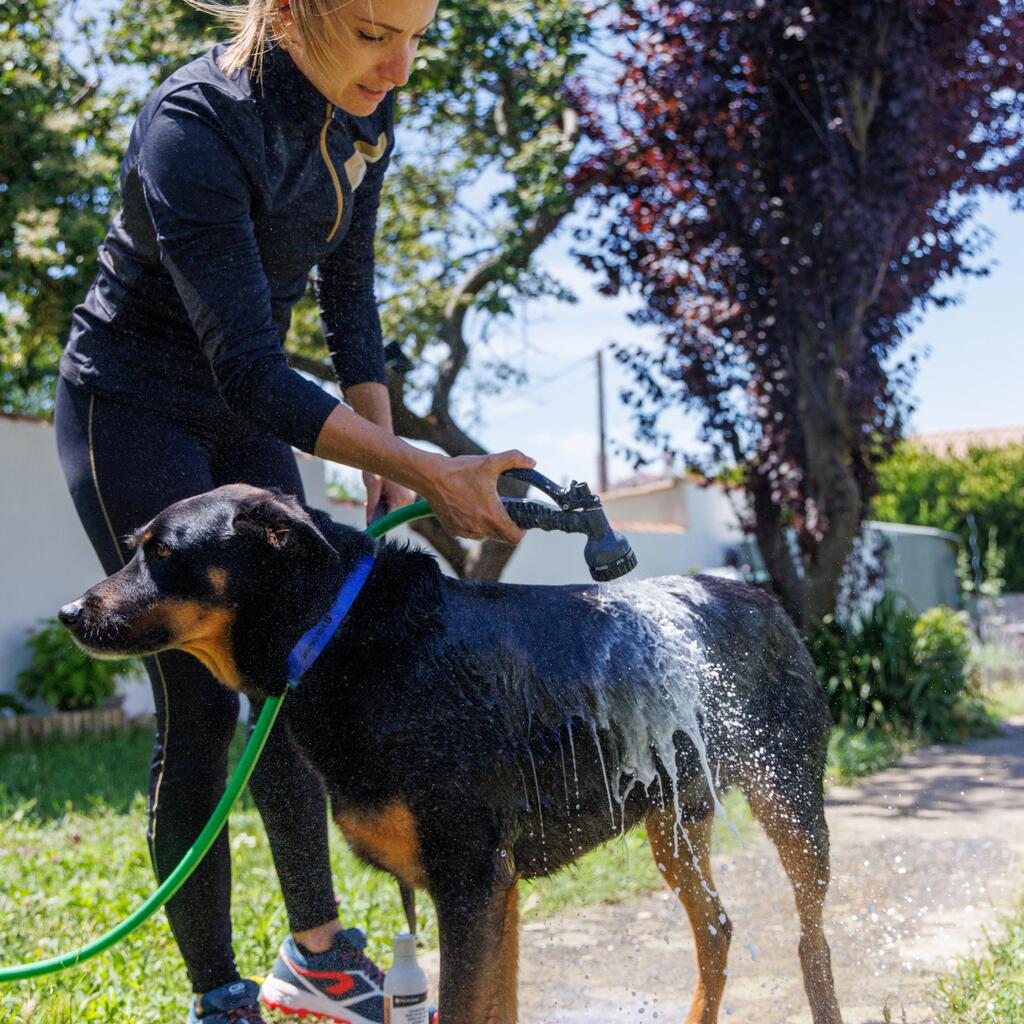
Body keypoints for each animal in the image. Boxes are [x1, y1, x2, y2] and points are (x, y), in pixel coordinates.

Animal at [59, 481, 839, 1024]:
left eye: (163, 553)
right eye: (132, 545)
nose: (69, 613)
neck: (336, 631)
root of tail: (758, 594)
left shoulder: (471, 880)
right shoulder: (496, 889)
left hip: (789, 801)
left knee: (811, 939)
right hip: (673, 817)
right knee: (717, 929)